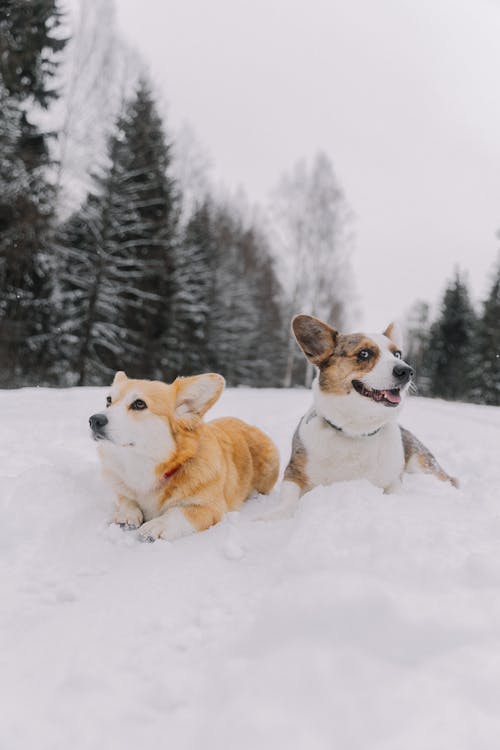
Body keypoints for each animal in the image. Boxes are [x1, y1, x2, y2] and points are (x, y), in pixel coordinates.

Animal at [88, 374, 280, 544]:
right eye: (108, 400)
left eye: (139, 404)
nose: (94, 420)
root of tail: (247, 424)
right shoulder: (123, 487)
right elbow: (125, 499)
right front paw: (126, 515)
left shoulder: (211, 508)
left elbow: (179, 512)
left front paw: (157, 525)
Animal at [276, 314, 458, 520]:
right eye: (364, 354)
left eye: (397, 354)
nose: (407, 371)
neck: (357, 430)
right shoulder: (293, 473)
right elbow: (287, 499)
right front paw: (272, 516)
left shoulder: (393, 482)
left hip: (424, 466)